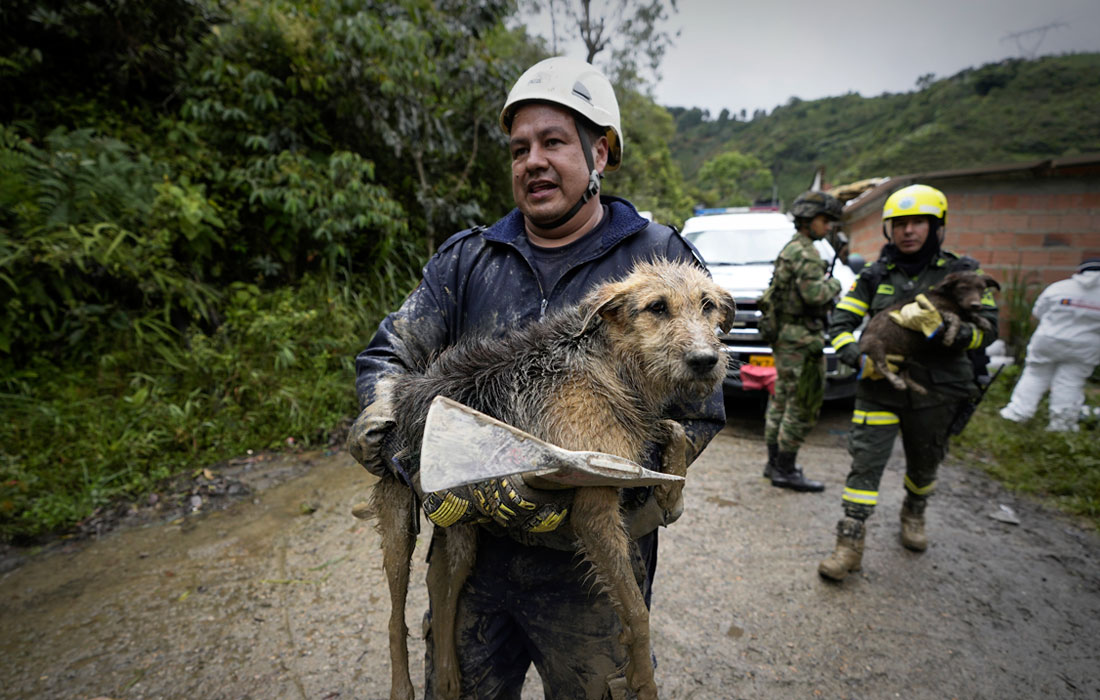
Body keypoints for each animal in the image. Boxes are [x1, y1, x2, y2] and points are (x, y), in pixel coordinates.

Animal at [862, 270, 1003, 394]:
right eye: (962, 288)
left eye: (982, 288)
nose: (976, 305)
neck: (948, 297)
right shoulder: (936, 309)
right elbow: (956, 317)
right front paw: (949, 337)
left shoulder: (959, 310)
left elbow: (966, 314)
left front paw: (983, 321)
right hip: (876, 345)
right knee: (880, 367)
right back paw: (897, 382)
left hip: (907, 355)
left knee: (903, 373)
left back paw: (917, 387)